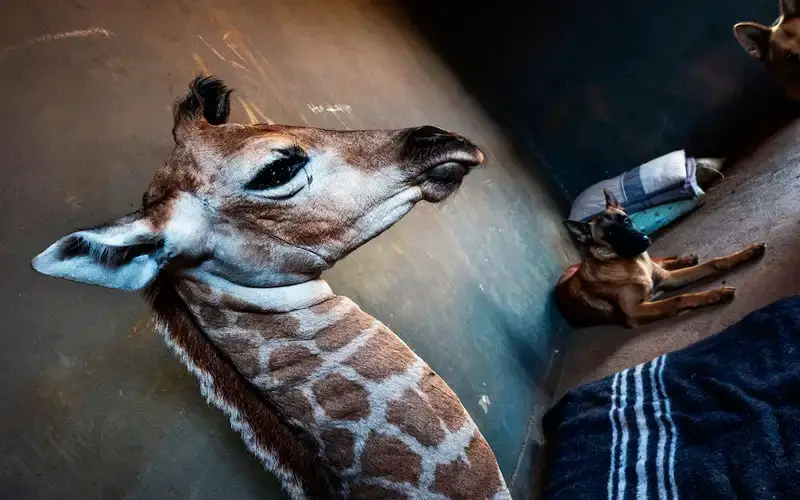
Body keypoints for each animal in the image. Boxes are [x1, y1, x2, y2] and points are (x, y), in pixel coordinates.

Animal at [552, 190, 764, 328]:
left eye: (626, 219)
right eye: (610, 233)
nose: (645, 239)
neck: (630, 263)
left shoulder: (667, 278)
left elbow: (712, 263)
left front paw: (747, 252)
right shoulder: (634, 312)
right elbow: (678, 298)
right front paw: (716, 294)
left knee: (661, 261)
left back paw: (685, 259)